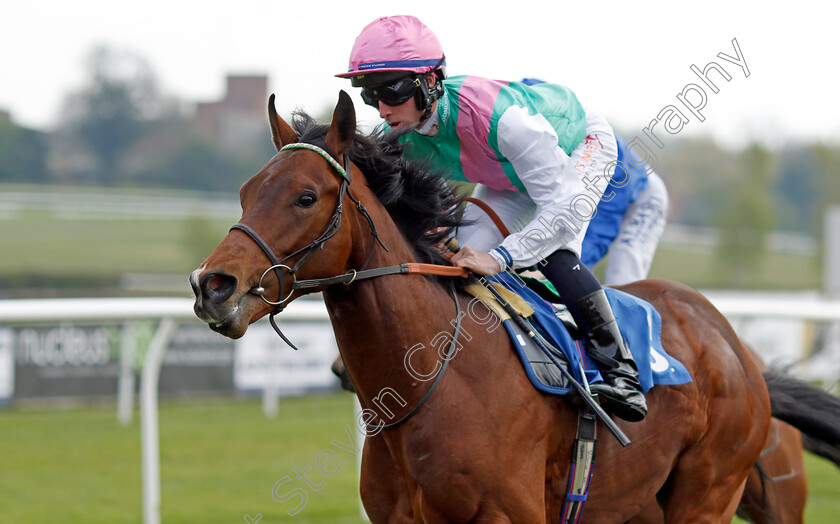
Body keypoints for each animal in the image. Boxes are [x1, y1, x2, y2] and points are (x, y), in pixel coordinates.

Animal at [192, 92, 840, 520]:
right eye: (246, 192)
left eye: (305, 197)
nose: (211, 285)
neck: (433, 378)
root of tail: (737, 350)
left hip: (708, 493)